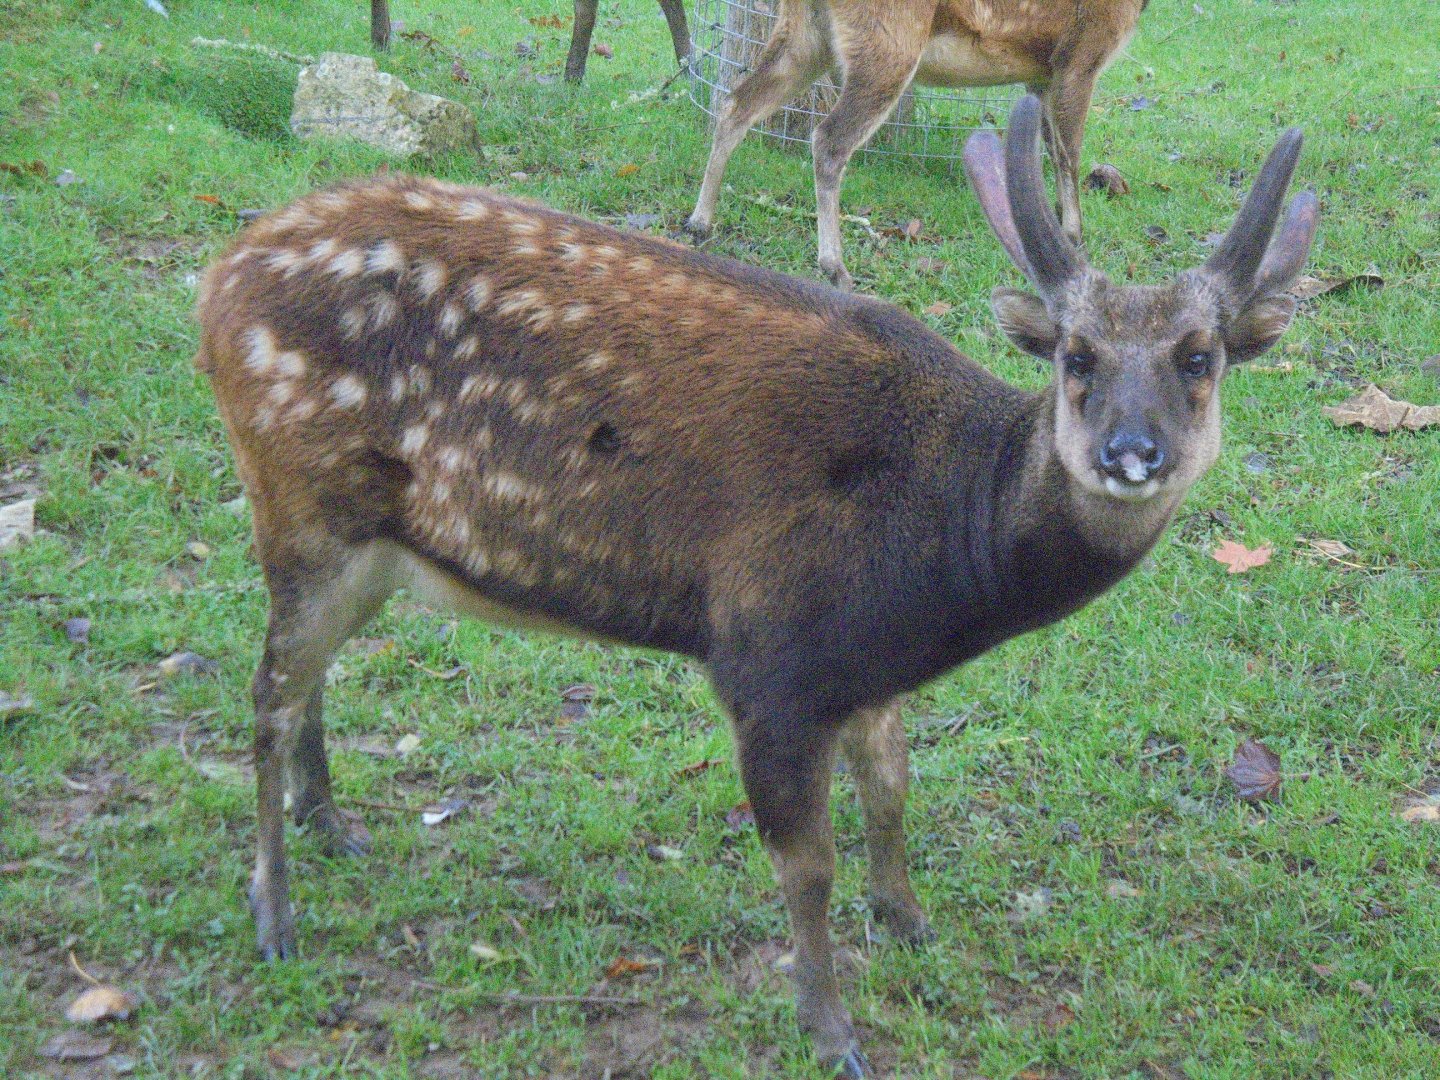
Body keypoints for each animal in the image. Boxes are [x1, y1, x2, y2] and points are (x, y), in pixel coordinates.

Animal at [195, 95, 1316, 1077]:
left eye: (1201, 357)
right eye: (1076, 356)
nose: (1133, 453)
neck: (939, 566)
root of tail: (215, 285)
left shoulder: (863, 670)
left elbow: (894, 788)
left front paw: (910, 924)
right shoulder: (769, 656)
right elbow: (806, 865)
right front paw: (832, 1031)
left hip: (369, 547)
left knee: (307, 679)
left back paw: (332, 825)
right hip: (303, 504)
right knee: (264, 696)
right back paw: (274, 914)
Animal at [687, 0, 1150, 289]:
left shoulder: (1041, 72)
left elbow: (1046, 151)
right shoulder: (1080, 56)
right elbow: (1070, 154)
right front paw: (1074, 239)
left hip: (804, 35)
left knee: (736, 103)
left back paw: (699, 224)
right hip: (888, 43)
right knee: (829, 139)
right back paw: (837, 268)